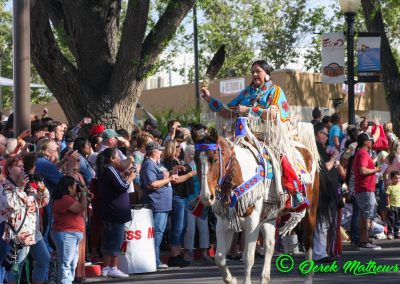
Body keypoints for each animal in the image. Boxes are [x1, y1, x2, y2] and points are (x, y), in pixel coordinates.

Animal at [192, 125, 320, 284]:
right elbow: (220, 257)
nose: (205, 196)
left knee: (308, 241)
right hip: (270, 217)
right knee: (270, 246)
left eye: (215, 159)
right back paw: (264, 278)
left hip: (310, 211)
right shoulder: (223, 221)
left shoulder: (252, 222)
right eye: (195, 160)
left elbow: (248, 258)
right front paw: (231, 279)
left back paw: (308, 277)